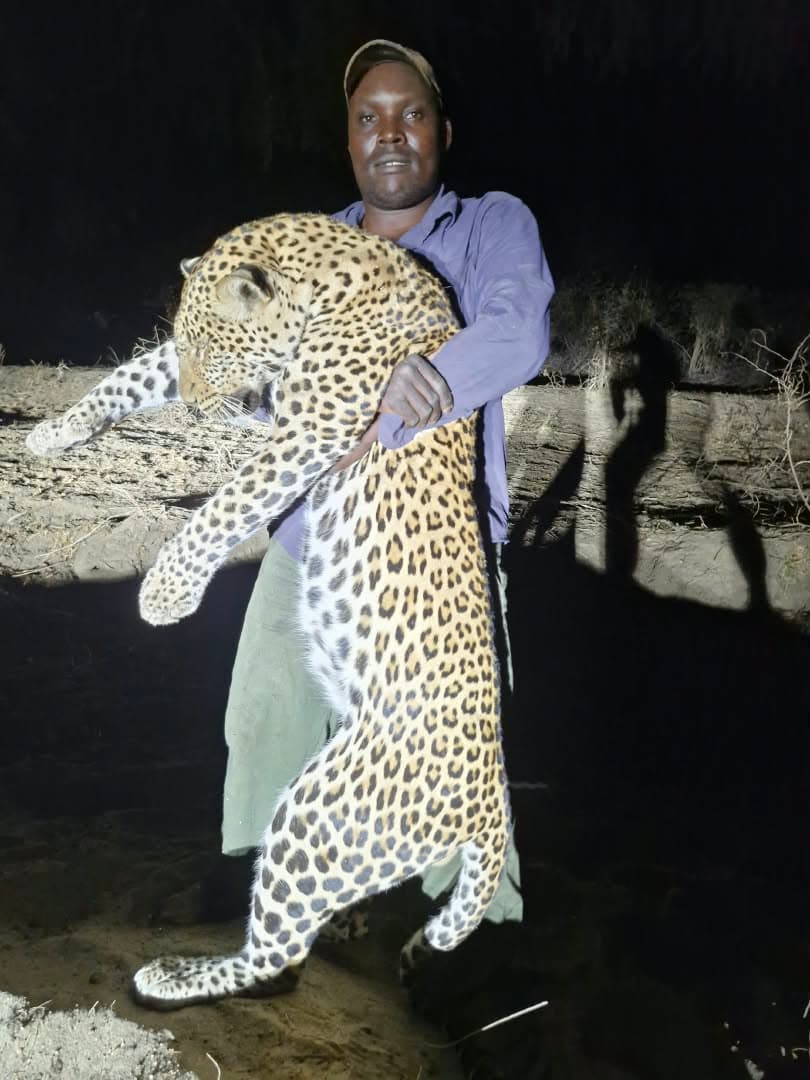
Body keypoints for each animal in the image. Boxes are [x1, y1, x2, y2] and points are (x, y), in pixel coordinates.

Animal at [26, 212, 511, 1010]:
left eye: (213, 351)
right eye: (191, 347)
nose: (195, 407)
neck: (331, 279)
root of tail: (490, 808)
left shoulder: (313, 430)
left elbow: (228, 503)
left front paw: (166, 593)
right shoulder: (266, 399)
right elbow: (128, 375)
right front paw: (55, 431)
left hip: (318, 809)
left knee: (277, 952)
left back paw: (174, 976)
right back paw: (341, 925)